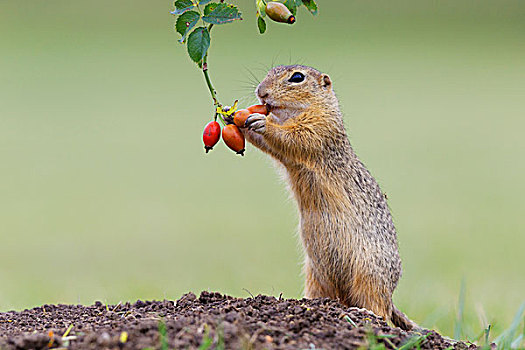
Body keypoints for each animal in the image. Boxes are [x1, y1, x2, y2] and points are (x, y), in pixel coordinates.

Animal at [242, 64, 418, 330]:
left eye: (297, 77)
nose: (261, 92)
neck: (294, 114)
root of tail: (391, 297)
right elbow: (274, 146)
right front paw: (235, 119)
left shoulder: (319, 129)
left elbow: (294, 138)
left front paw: (261, 122)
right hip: (315, 275)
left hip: (368, 274)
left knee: (380, 310)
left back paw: (366, 314)